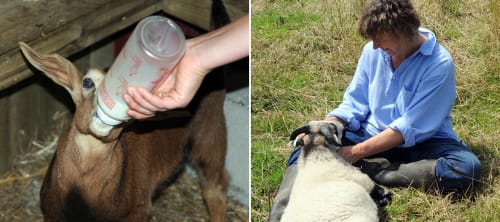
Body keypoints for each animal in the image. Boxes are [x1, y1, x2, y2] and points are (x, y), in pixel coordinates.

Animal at [18, 41, 229, 220]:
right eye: (87, 82)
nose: (105, 113)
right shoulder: (52, 212)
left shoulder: (138, 211)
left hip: (210, 135)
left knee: (215, 191)